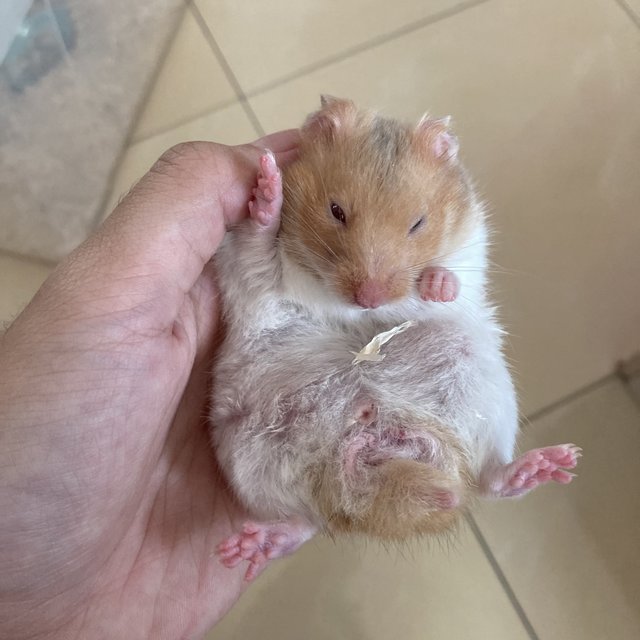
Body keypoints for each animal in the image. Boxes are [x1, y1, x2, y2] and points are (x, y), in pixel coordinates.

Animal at [210, 97, 580, 584]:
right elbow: (259, 239)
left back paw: (549, 465)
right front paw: (269, 184)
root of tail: (370, 445)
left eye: (418, 224)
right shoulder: (250, 264)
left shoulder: (473, 236)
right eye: (335, 211)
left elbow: (457, 267)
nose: (369, 300)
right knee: (307, 519)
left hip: (484, 382)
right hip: (242, 450)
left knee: (485, 479)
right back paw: (250, 547)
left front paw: (437, 286)